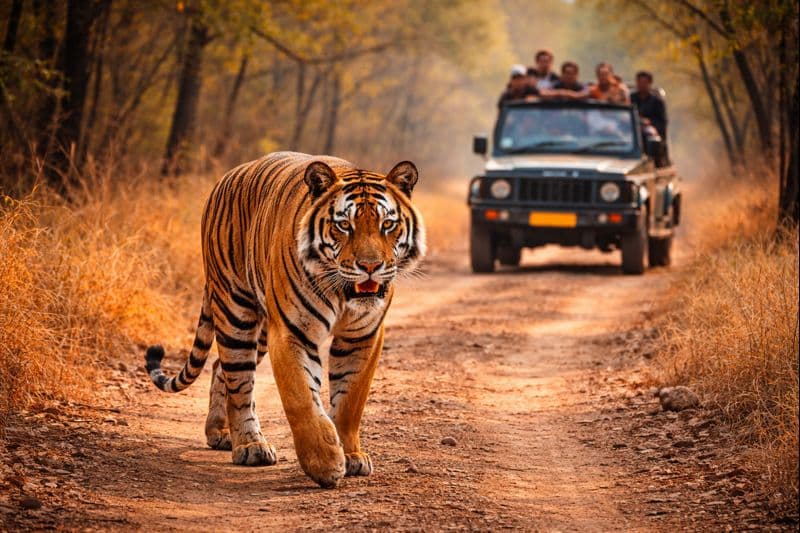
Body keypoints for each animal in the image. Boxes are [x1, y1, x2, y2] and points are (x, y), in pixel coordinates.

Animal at [144, 151, 425, 488]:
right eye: (344, 225)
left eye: (388, 224)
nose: (370, 266)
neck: (342, 292)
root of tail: (226, 177)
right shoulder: (292, 332)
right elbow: (301, 398)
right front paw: (325, 463)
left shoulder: (362, 336)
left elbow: (350, 401)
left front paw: (352, 456)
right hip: (236, 310)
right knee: (240, 382)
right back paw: (250, 446)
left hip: (261, 331)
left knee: (218, 367)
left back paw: (220, 433)